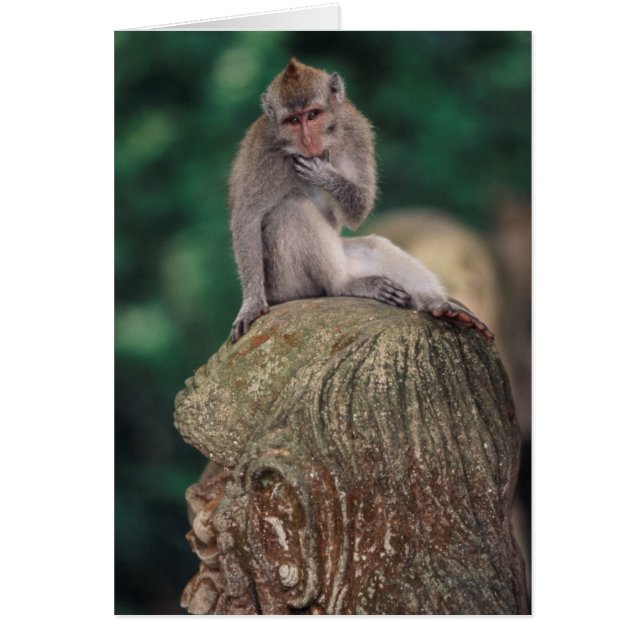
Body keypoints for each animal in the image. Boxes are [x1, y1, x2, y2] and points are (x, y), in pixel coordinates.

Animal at [228, 58, 493, 343]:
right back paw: (343, 284)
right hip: (287, 285)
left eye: (313, 115)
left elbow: (358, 209)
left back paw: (439, 304)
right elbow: (248, 218)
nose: (307, 140)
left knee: (374, 246)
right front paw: (252, 303)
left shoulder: (356, 131)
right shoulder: (264, 154)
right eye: (292, 121)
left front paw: (326, 175)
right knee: (292, 208)